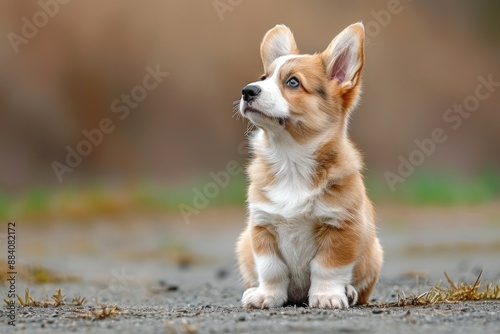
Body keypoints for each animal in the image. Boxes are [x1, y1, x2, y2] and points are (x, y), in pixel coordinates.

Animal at [234, 22, 382, 310]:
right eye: (263, 77)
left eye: (293, 82)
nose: (247, 91)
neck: (291, 158)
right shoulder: (262, 227)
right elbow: (271, 269)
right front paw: (266, 295)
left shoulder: (341, 227)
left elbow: (327, 268)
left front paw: (327, 296)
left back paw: (349, 292)